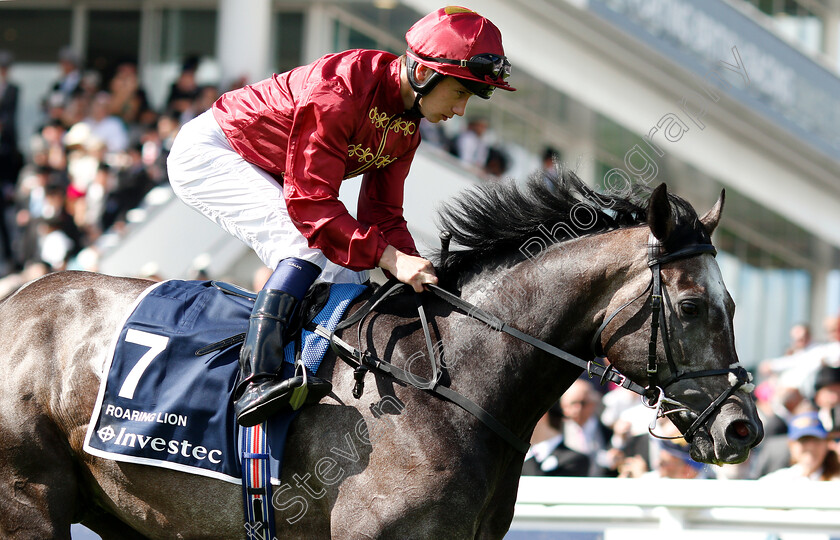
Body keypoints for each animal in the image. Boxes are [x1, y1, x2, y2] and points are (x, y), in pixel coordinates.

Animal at [0, 175, 760, 536]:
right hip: (29, 501)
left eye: (734, 305)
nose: (742, 428)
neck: (443, 388)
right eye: (693, 306)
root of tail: (18, 299)